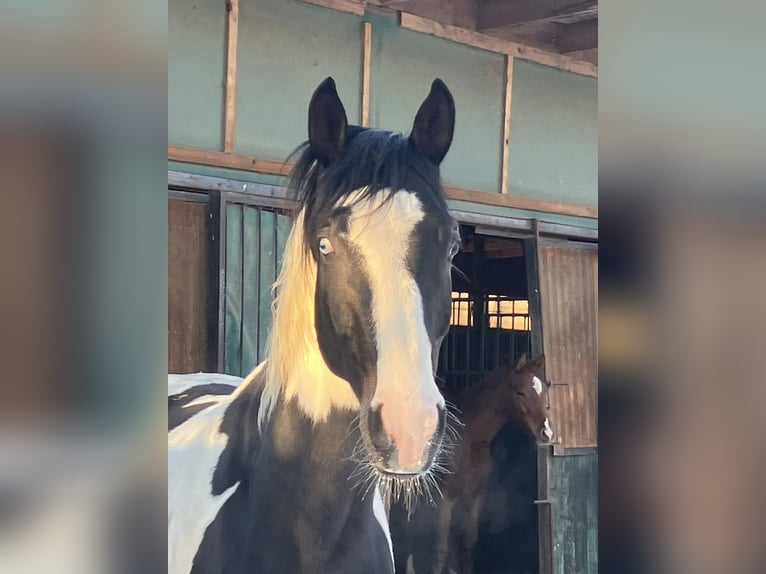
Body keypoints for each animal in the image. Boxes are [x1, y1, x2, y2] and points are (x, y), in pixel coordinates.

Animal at [390, 354, 553, 574]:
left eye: (545, 389)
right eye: (519, 392)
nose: (546, 433)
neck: (469, 439)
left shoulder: (476, 497)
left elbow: (468, 545)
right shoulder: (444, 500)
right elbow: (440, 552)